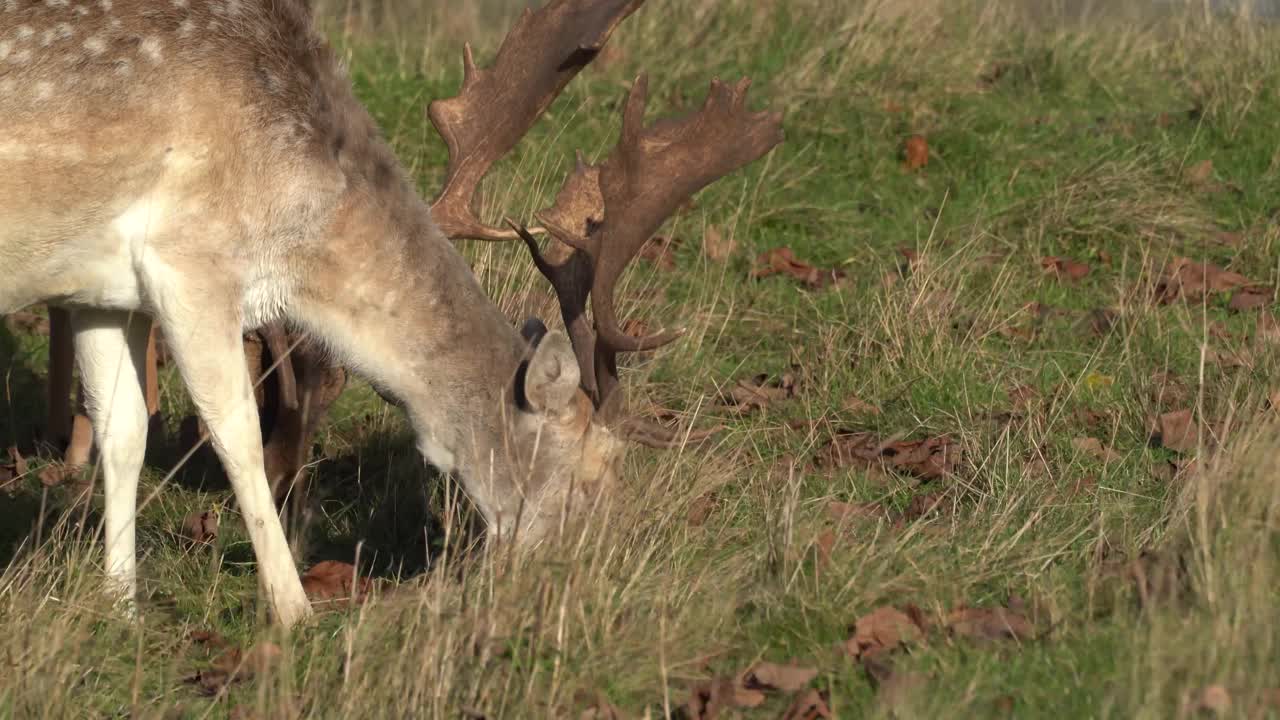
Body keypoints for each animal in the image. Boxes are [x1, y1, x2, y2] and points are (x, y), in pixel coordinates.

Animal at [0, 0, 783, 625]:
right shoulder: (189, 260)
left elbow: (124, 431)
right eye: (597, 469)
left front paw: (120, 607)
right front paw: (295, 612)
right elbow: (236, 434)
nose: (590, 577)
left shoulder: (101, 288)